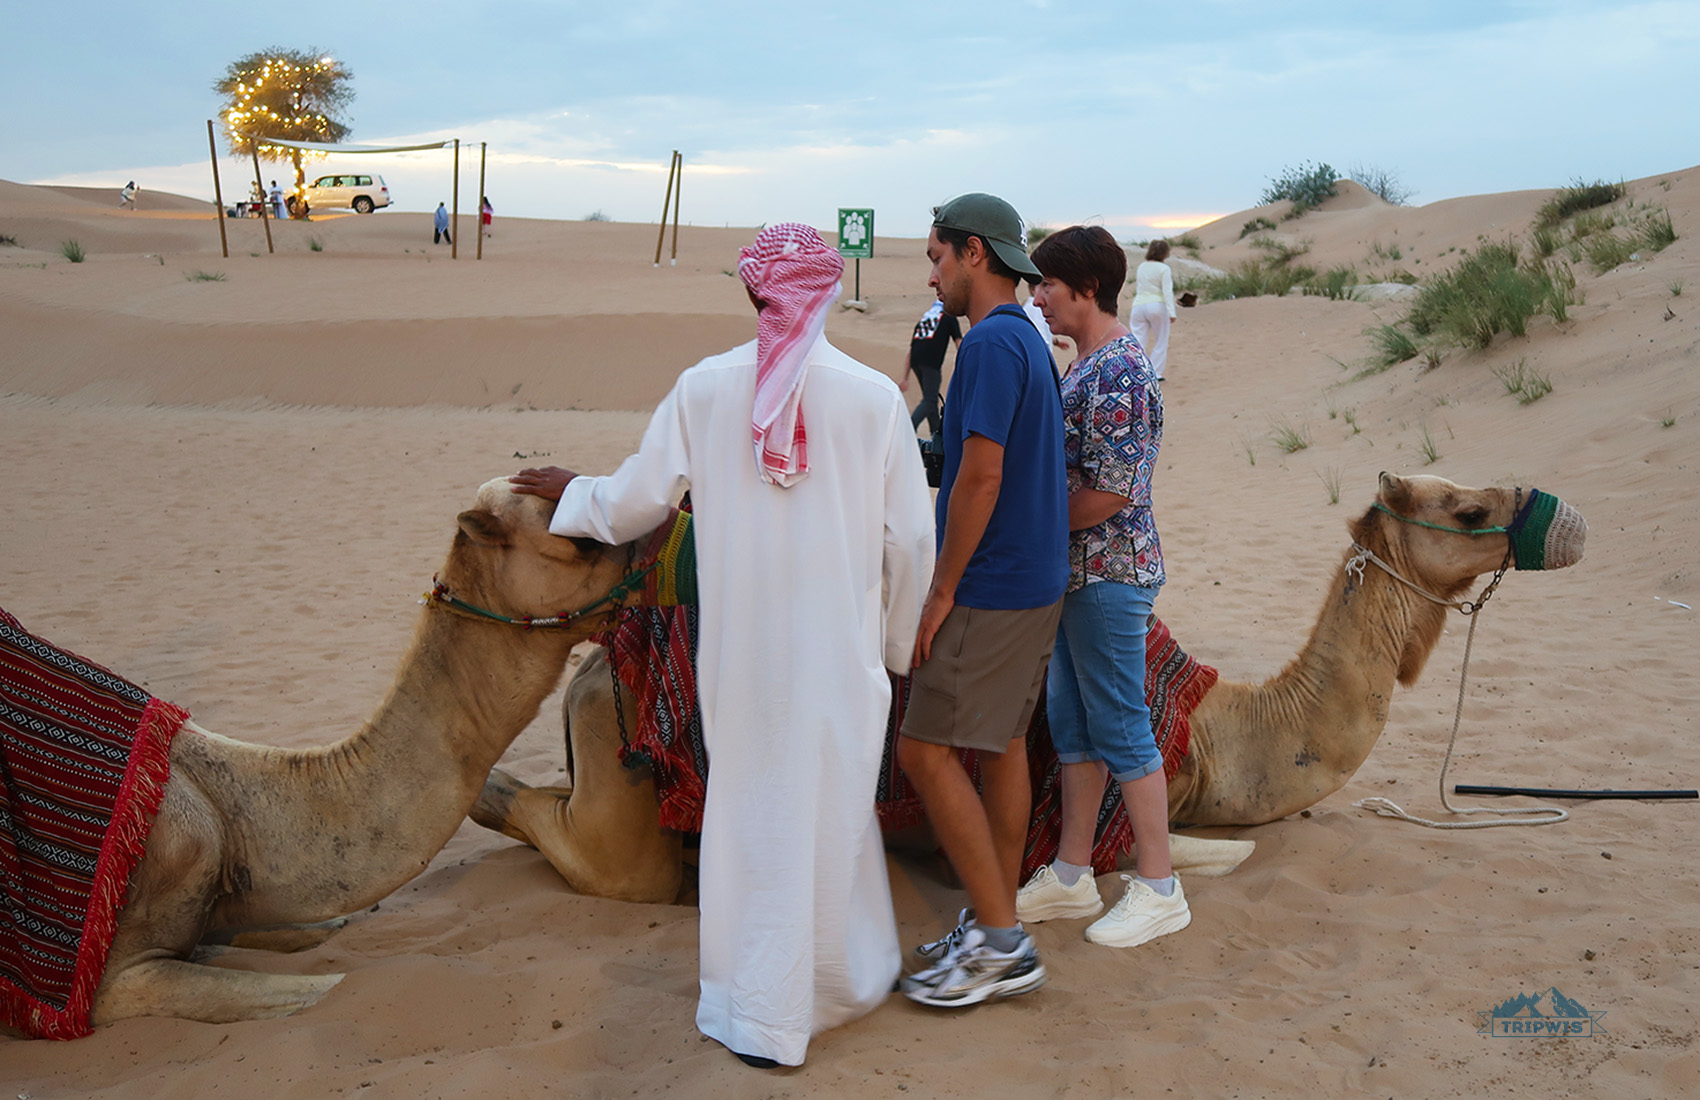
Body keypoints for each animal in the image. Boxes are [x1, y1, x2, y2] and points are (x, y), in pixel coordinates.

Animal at [472, 472, 1584, 904]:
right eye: (1468, 506)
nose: (1561, 516)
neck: (1217, 728)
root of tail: (594, 670)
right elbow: (1207, 856)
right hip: (636, 804)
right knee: (583, 843)